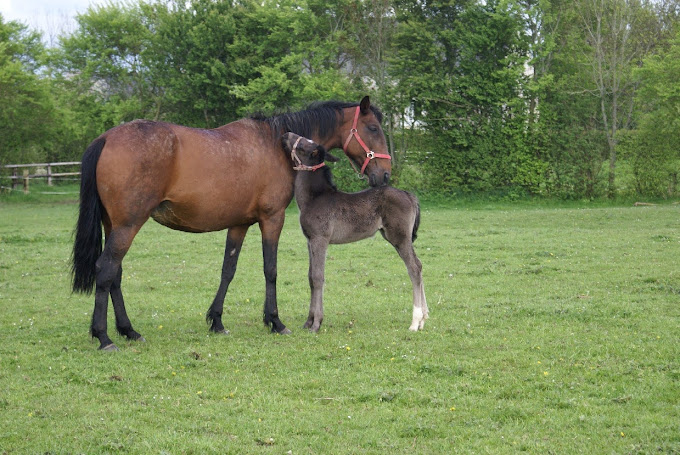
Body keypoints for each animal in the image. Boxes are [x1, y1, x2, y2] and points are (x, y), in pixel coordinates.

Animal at [71, 96, 391, 350]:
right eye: (373, 128)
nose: (385, 174)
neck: (274, 145)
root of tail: (106, 138)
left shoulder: (239, 224)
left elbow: (228, 270)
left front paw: (216, 320)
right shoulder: (272, 219)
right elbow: (271, 270)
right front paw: (275, 321)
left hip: (114, 226)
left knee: (115, 275)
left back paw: (128, 331)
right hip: (128, 226)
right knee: (106, 270)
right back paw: (104, 337)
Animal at [281, 132, 428, 332]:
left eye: (303, 144)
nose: (286, 134)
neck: (315, 198)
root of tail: (409, 195)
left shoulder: (320, 239)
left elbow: (318, 277)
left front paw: (316, 324)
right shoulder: (309, 240)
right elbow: (311, 277)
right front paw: (308, 321)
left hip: (400, 237)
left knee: (414, 268)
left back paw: (415, 322)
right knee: (419, 265)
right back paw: (423, 319)